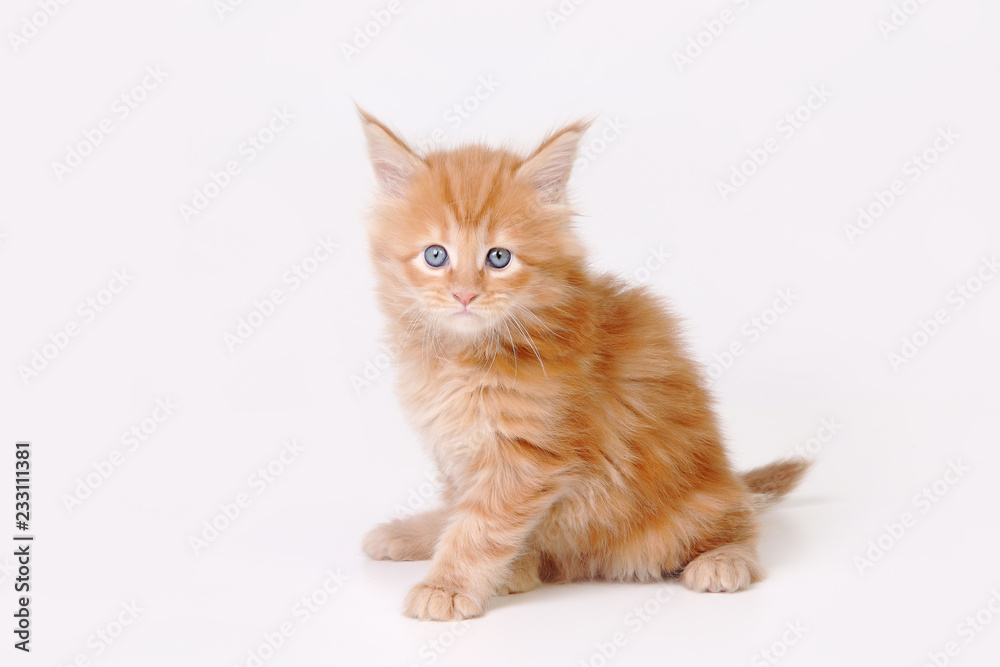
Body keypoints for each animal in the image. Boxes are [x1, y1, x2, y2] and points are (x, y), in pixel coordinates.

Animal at [356, 108, 808, 620]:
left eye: (498, 257)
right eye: (436, 255)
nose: (465, 294)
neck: (464, 356)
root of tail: (728, 479)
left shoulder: (528, 456)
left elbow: (480, 529)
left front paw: (449, 586)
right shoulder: (458, 452)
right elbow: (464, 516)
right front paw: (499, 570)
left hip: (690, 507)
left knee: (739, 522)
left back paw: (724, 561)